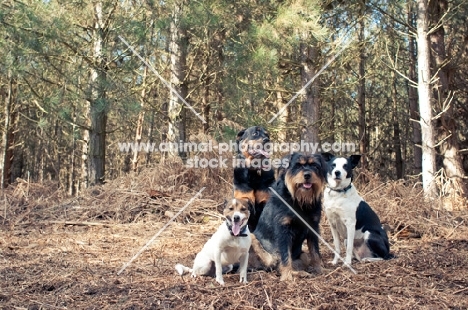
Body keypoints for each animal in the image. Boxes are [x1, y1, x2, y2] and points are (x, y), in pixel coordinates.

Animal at [250, 152, 328, 280]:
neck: (299, 201)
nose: (307, 175)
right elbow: (285, 255)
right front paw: (287, 276)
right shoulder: (283, 231)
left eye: (314, 166)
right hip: (252, 238)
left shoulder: (313, 228)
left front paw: (319, 269)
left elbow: (315, 252)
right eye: (297, 165)